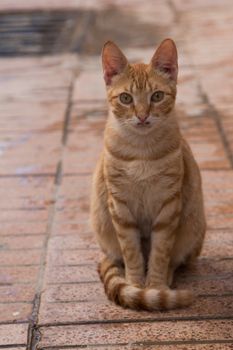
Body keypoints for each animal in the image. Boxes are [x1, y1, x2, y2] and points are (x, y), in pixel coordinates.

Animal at [90, 39, 205, 310]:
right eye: (125, 98)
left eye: (157, 96)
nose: (142, 116)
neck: (141, 152)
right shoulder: (120, 206)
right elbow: (131, 252)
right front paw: (135, 284)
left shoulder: (168, 205)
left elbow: (161, 252)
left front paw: (156, 287)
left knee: (176, 259)